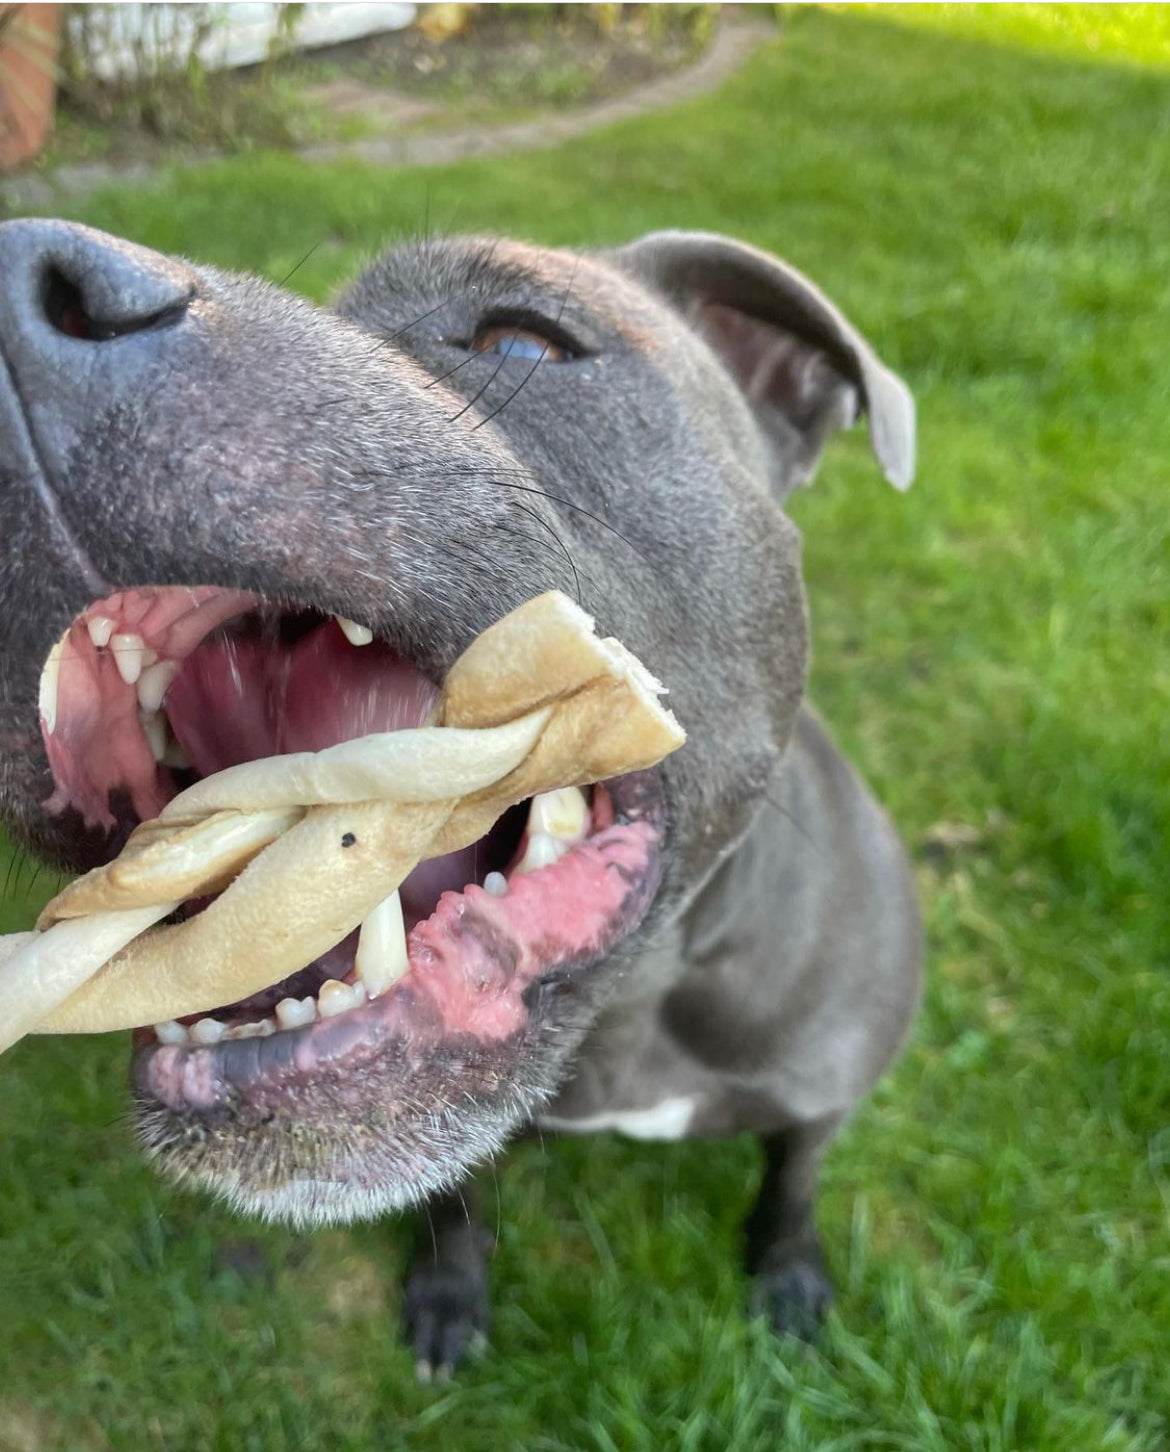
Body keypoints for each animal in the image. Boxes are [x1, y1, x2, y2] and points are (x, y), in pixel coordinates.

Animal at [0, 214, 923, 1370]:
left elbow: (795, 1172)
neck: (622, 1020)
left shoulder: (824, 1090)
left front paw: (789, 1268)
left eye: (522, 342)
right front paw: (449, 1287)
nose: (13, 287)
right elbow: (460, 1195)